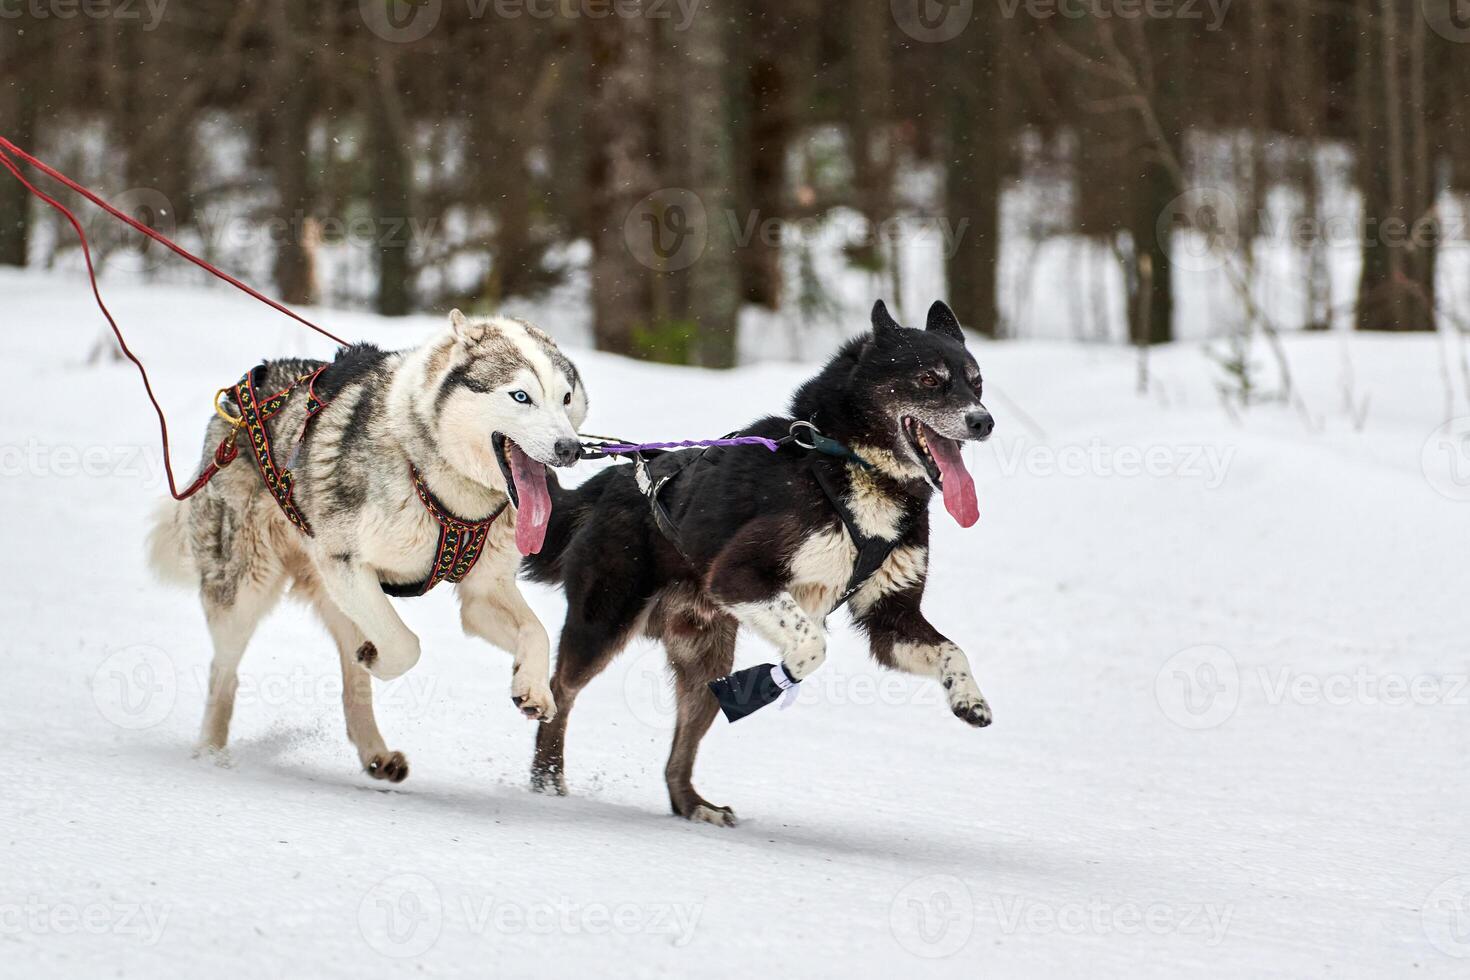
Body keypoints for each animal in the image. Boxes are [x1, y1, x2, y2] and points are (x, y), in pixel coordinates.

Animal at [149, 310, 585, 787]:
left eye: (565, 398)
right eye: (521, 396)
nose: (571, 449)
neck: (439, 486)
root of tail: (243, 390)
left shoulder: (483, 592)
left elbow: (536, 631)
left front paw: (532, 686)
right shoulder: (345, 563)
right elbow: (406, 645)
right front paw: (380, 659)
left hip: (337, 599)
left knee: (350, 680)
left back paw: (376, 750)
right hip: (249, 587)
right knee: (223, 672)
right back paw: (210, 751)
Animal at [523, 302, 993, 822]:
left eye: (976, 382)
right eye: (929, 379)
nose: (983, 421)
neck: (848, 466)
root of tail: (612, 480)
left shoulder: (891, 616)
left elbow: (953, 650)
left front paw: (968, 697)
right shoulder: (738, 577)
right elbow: (812, 646)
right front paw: (771, 681)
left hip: (704, 664)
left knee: (677, 755)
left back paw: (694, 805)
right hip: (602, 623)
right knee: (559, 694)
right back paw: (547, 781)